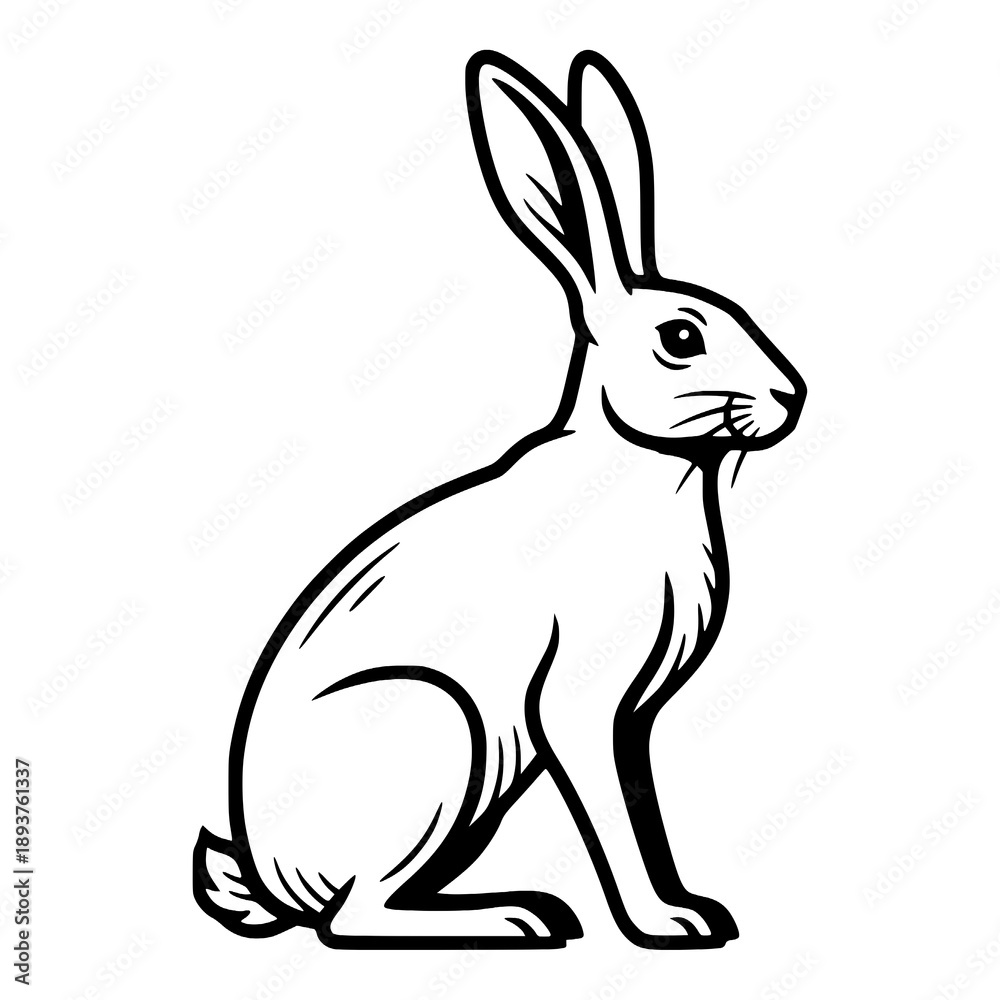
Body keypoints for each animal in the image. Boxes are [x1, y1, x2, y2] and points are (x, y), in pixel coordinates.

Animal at [193, 49, 806, 950]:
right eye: (682, 338)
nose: (792, 397)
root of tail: (275, 880)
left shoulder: (630, 720)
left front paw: (686, 909)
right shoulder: (578, 702)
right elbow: (616, 816)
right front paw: (669, 922)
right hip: (437, 729)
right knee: (354, 916)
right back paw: (519, 917)